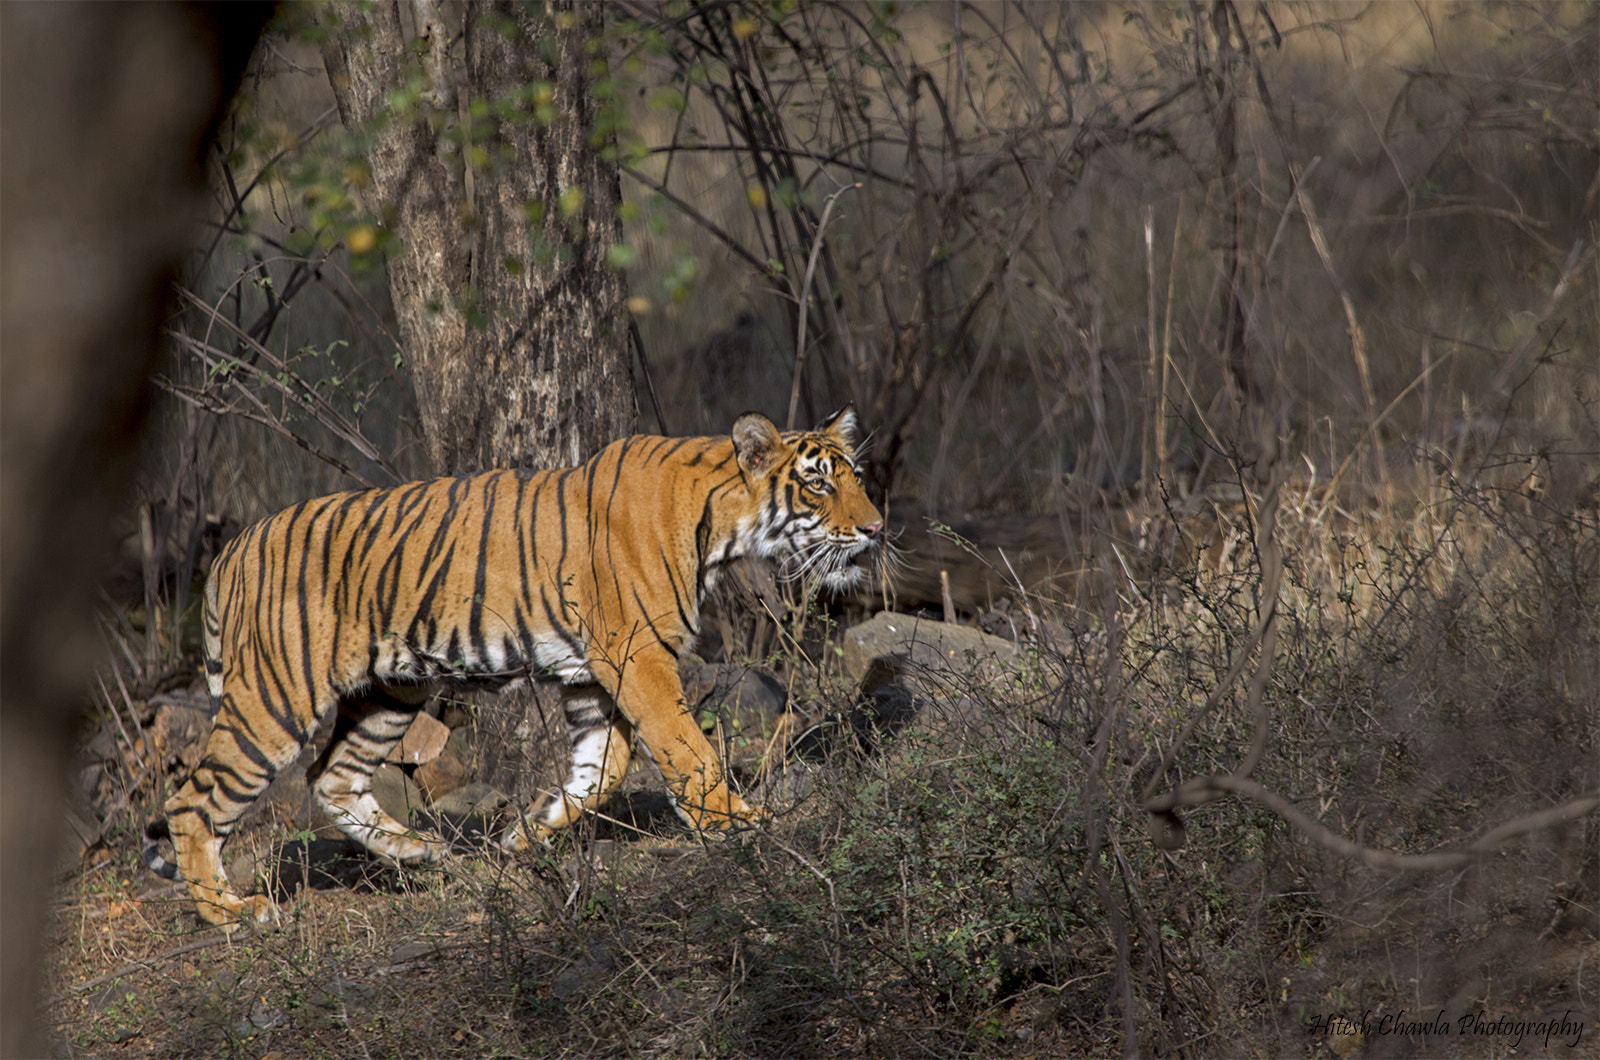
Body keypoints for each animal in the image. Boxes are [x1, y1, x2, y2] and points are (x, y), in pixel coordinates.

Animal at [142, 409, 883, 928]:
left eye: (857, 476)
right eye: (818, 483)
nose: (876, 529)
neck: (720, 528)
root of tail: (233, 547)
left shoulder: (591, 673)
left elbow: (602, 769)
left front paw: (526, 834)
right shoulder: (637, 655)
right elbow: (685, 748)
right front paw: (737, 822)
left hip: (393, 689)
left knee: (333, 776)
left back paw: (423, 853)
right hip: (275, 697)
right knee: (193, 803)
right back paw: (234, 913)